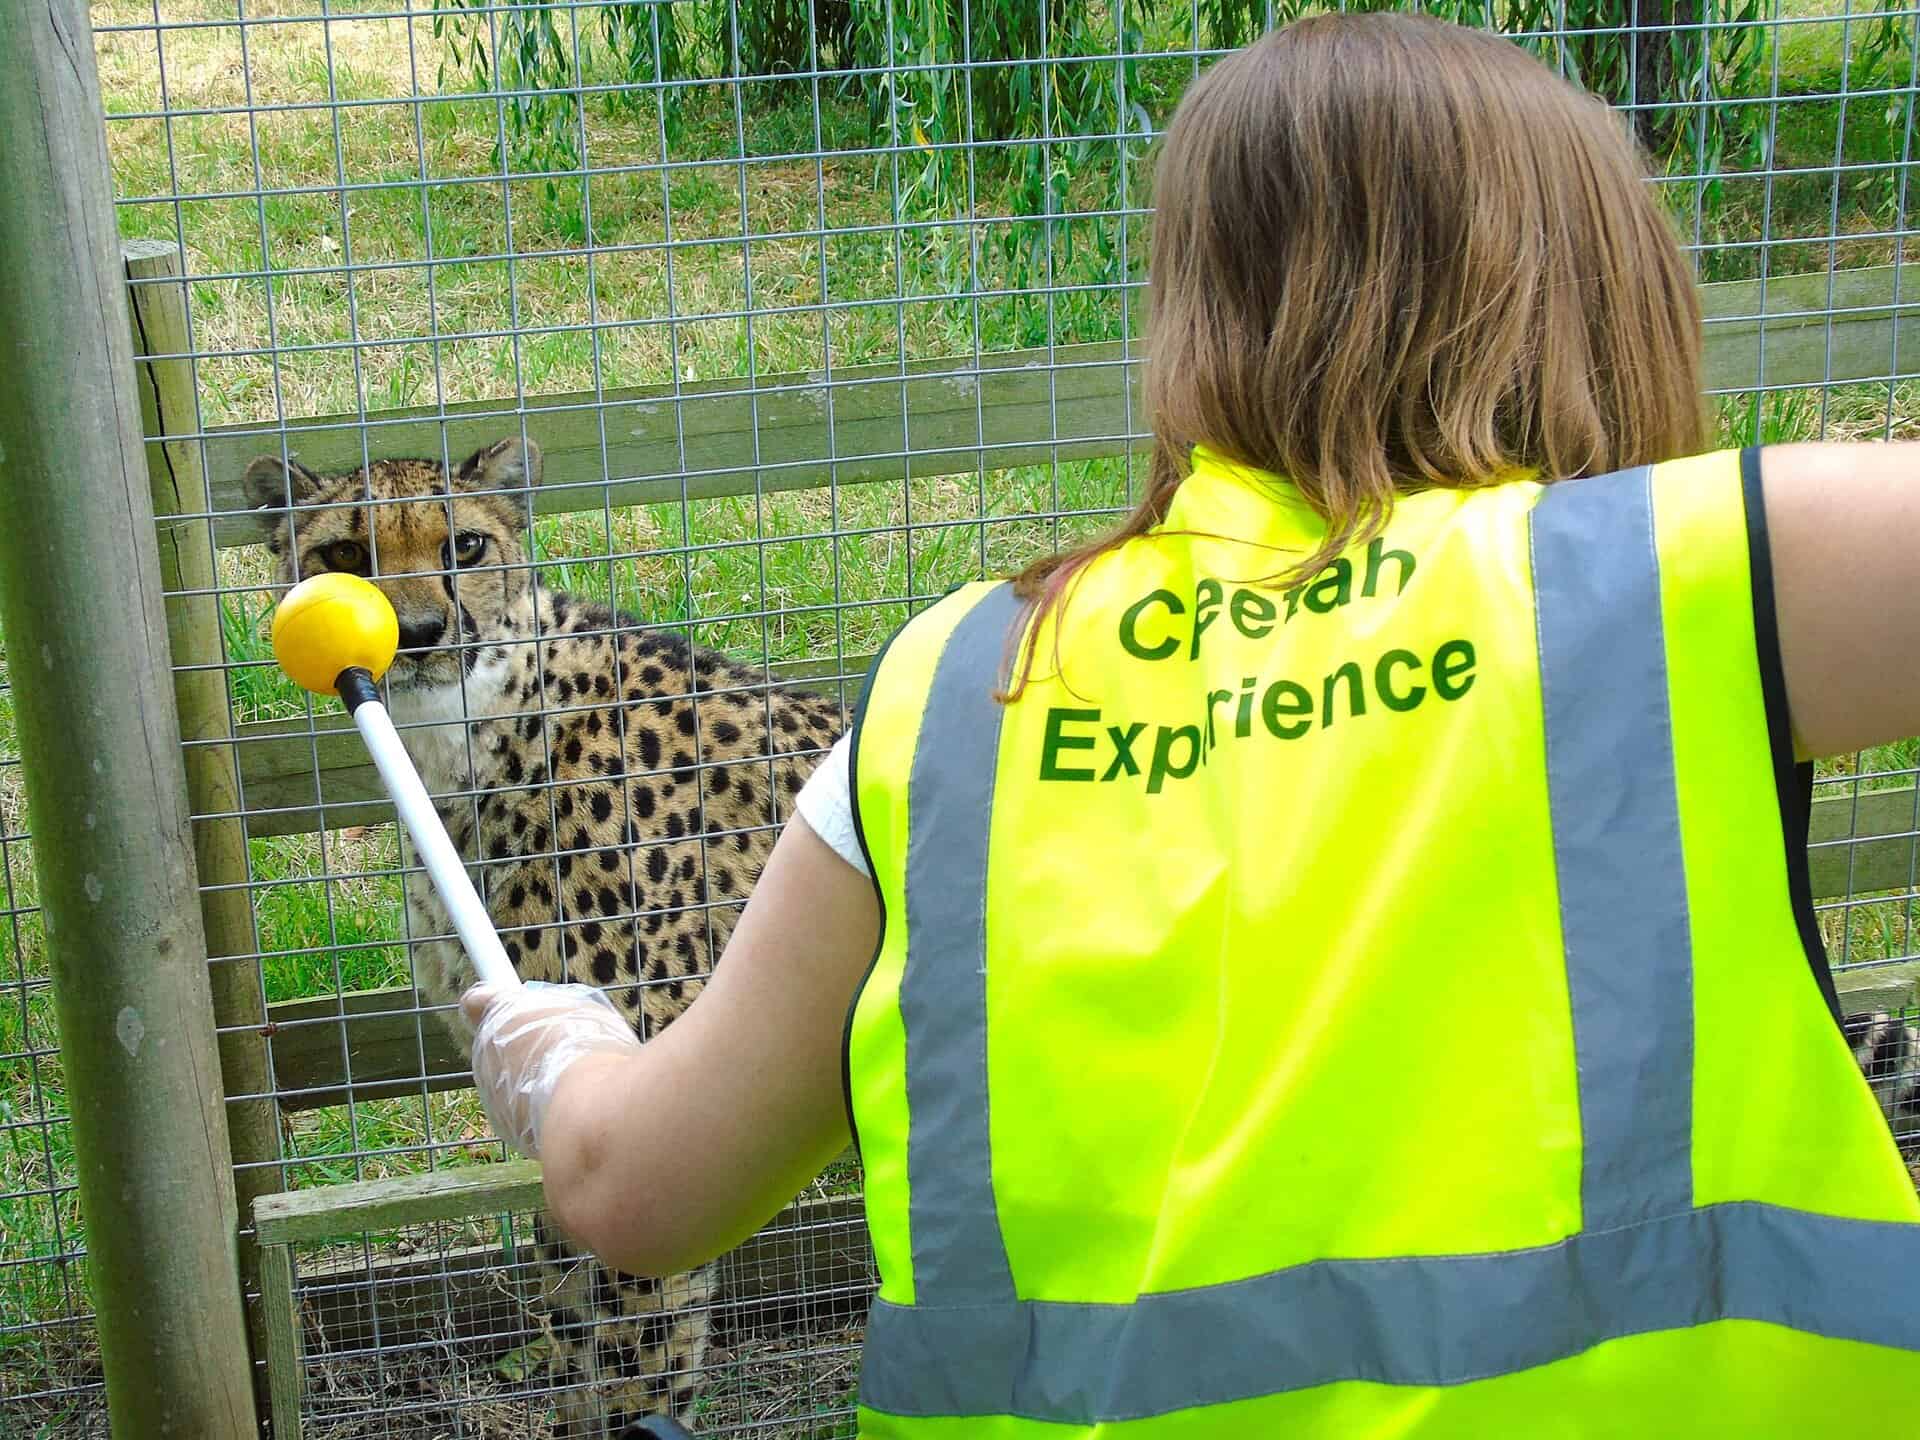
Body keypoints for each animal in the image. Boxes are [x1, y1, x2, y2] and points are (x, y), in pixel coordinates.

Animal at [244, 436, 844, 1435]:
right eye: (344, 553)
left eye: (467, 545)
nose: (417, 633)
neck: (471, 749)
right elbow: (571, 1324)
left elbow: (641, 1355)